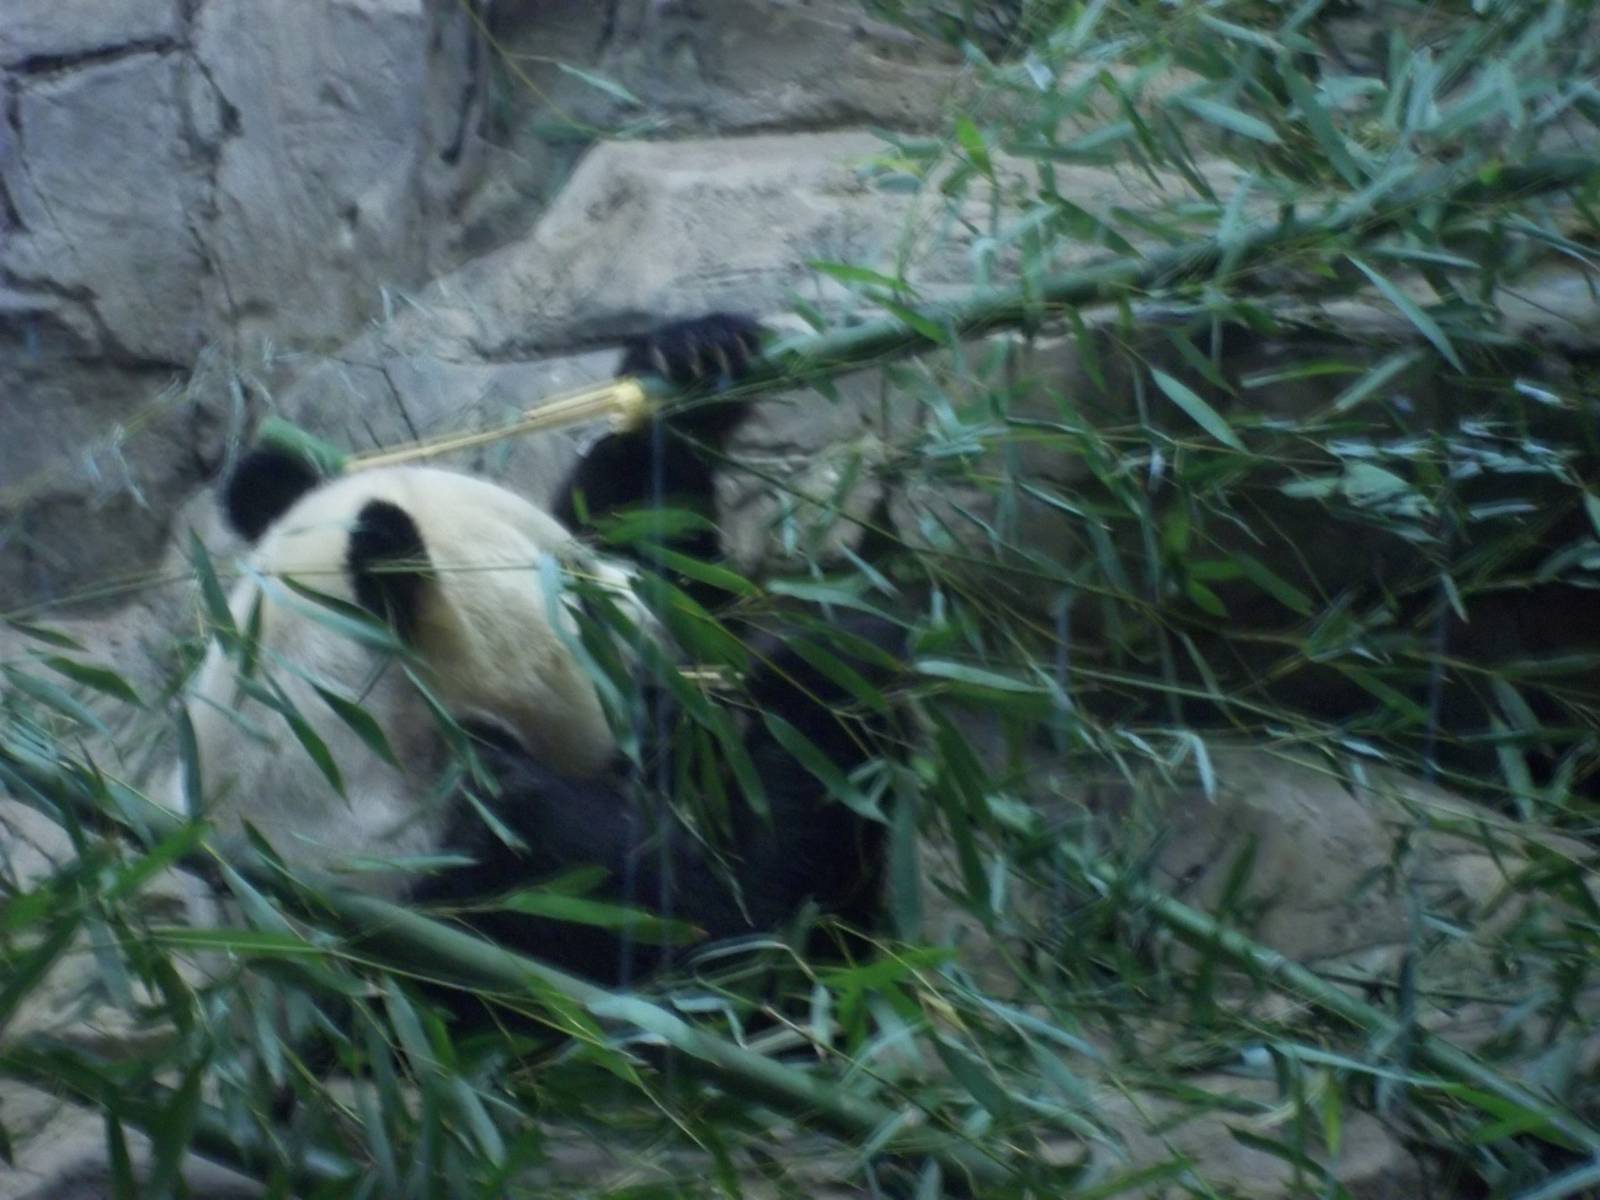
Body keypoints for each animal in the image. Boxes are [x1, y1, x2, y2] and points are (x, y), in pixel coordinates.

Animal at [165, 314, 901, 986]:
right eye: (577, 586)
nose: (650, 615)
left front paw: (689, 360)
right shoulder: (479, 874)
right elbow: (739, 933)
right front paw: (831, 669)